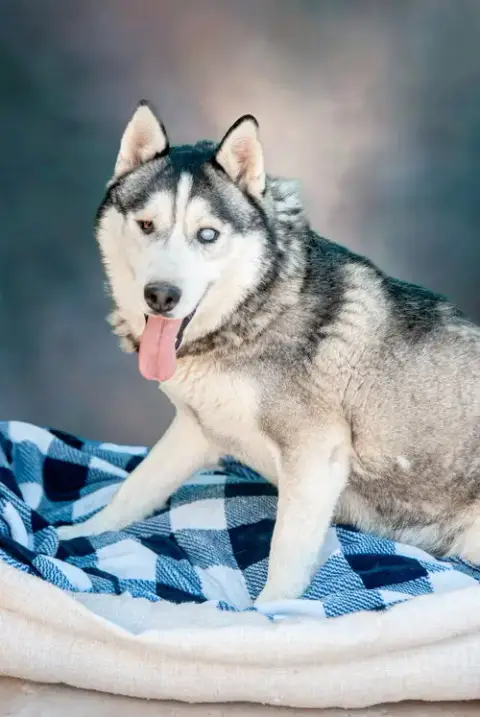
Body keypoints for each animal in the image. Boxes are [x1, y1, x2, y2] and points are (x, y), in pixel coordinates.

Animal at [58, 100, 480, 603]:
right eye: (146, 225)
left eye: (207, 235)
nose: (160, 296)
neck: (255, 313)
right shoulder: (196, 429)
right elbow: (135, 487)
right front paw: (80, 532)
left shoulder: (315, 456)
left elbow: (285, 551)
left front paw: (272, 612)